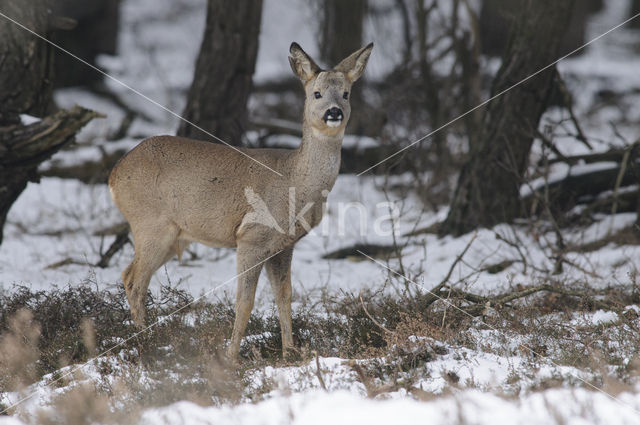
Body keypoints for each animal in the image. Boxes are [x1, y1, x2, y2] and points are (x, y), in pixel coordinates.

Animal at [107, 41, 372, 358]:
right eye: (316, 93)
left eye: (346, 93)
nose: (334, 112)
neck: (294, 180)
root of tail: (114, 174)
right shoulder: (251, 236)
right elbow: (244, 302)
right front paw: (231, 357)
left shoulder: (283, 245)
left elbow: (285, 297)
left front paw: (289, 352)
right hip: (151, 224)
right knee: (135, 280)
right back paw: (148, 344)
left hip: (172, 236)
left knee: (128, 276)